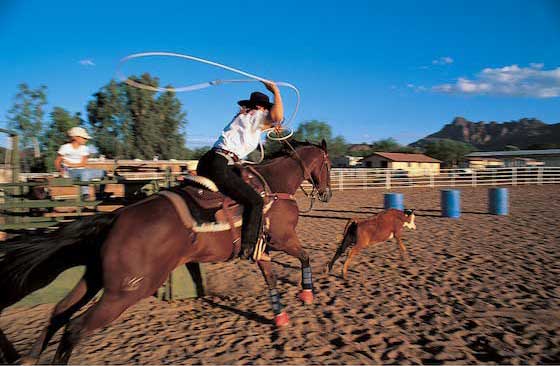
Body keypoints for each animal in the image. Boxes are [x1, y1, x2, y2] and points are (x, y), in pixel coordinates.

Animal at [0, 139, 332, 364]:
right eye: (328, 164)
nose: (326, 193)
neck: (274, 186)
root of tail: (116, 218)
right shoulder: (284, 238)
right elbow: (305, 256)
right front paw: (307, 294)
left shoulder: (263, 249)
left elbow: (271, 279)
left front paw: (280, 317)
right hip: (127, 291)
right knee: (75, 327)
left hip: (96, 279)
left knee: (60, 312)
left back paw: (28, 357)